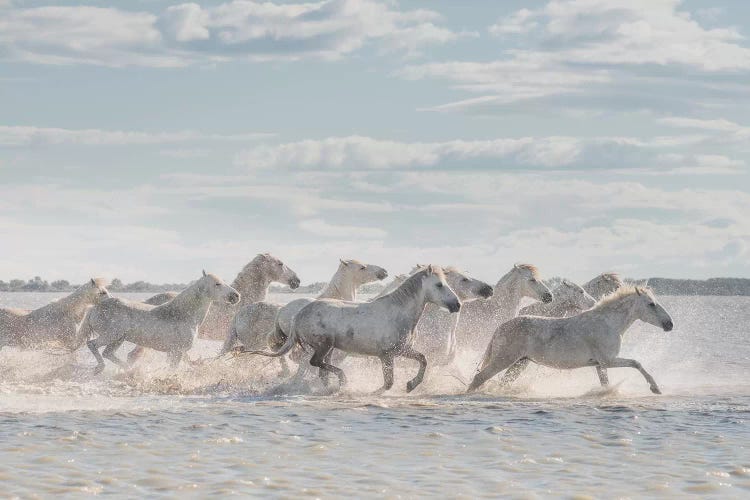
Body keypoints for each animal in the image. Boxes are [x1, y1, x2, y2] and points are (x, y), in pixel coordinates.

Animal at [83, 272, 239, 374]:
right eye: (217, 284)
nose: (236, 296)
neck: (183, 315)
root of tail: (94, 308)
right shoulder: (177, 351)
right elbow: (172, 371)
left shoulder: (173, 352)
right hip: (111, 336)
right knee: (92, 345)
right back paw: (101, 368)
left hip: (118, 339)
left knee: (108, 353)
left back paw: (130, 369)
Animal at [247, 268, 462, 392]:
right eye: (439, 285)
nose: (457, 305)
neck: (398, 312)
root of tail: (298, 315)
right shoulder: (387, 355)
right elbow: (388, 383)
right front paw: (376, 393)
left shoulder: (401, 350)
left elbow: (423, 360)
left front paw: (411, 385)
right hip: (324, 345)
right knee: (316, 364)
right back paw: (343, 382)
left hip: (329, 348)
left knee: (321, 370)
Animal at [470, 288, 676, 396]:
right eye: (651, 304)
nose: (670, 324)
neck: (609, 323)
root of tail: (500, 328)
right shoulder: (608, 360)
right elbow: (637, 363)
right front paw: (655, 388)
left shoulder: (600, 364)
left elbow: (605, 383)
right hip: (504, 359)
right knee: (479, 378)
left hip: (519, 363)